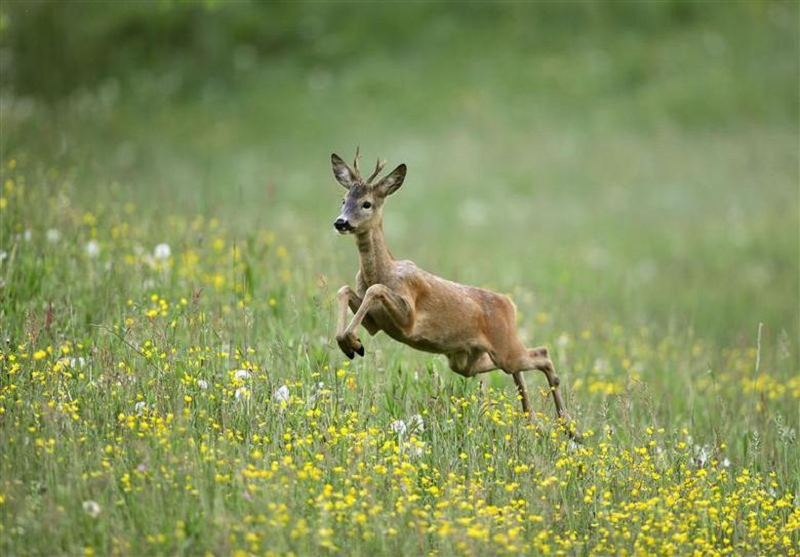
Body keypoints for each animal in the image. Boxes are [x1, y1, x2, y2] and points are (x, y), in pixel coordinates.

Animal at [331, 148, 576, 435]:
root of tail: (509, 304)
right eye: (343, 199)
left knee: (543, 354)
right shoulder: (376, 323)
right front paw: (349, 343)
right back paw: (532, 419)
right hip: (466, 359)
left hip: (502, 348)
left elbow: (375, 290)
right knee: (517, 367)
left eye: (367, 203)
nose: (341, 222)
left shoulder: (408, 319)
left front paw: (352, 342)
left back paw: (567, 426)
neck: (384, 270)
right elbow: (344, 289)